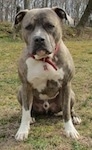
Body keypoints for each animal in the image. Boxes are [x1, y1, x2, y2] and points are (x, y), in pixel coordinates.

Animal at [13, 7, 81, 141]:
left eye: (50, 25)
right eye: (28, 27)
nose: (39, 38)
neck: (44, 59)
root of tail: (47, 109)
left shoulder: (66, 85)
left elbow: (66, 111)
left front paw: (70, 131)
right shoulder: (25, 86)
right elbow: (25, 111)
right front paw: (23, 131)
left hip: (72, 94)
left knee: (70, 109)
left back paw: (75, 117)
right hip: (20, 92)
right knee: (29, 110)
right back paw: (32, 117)